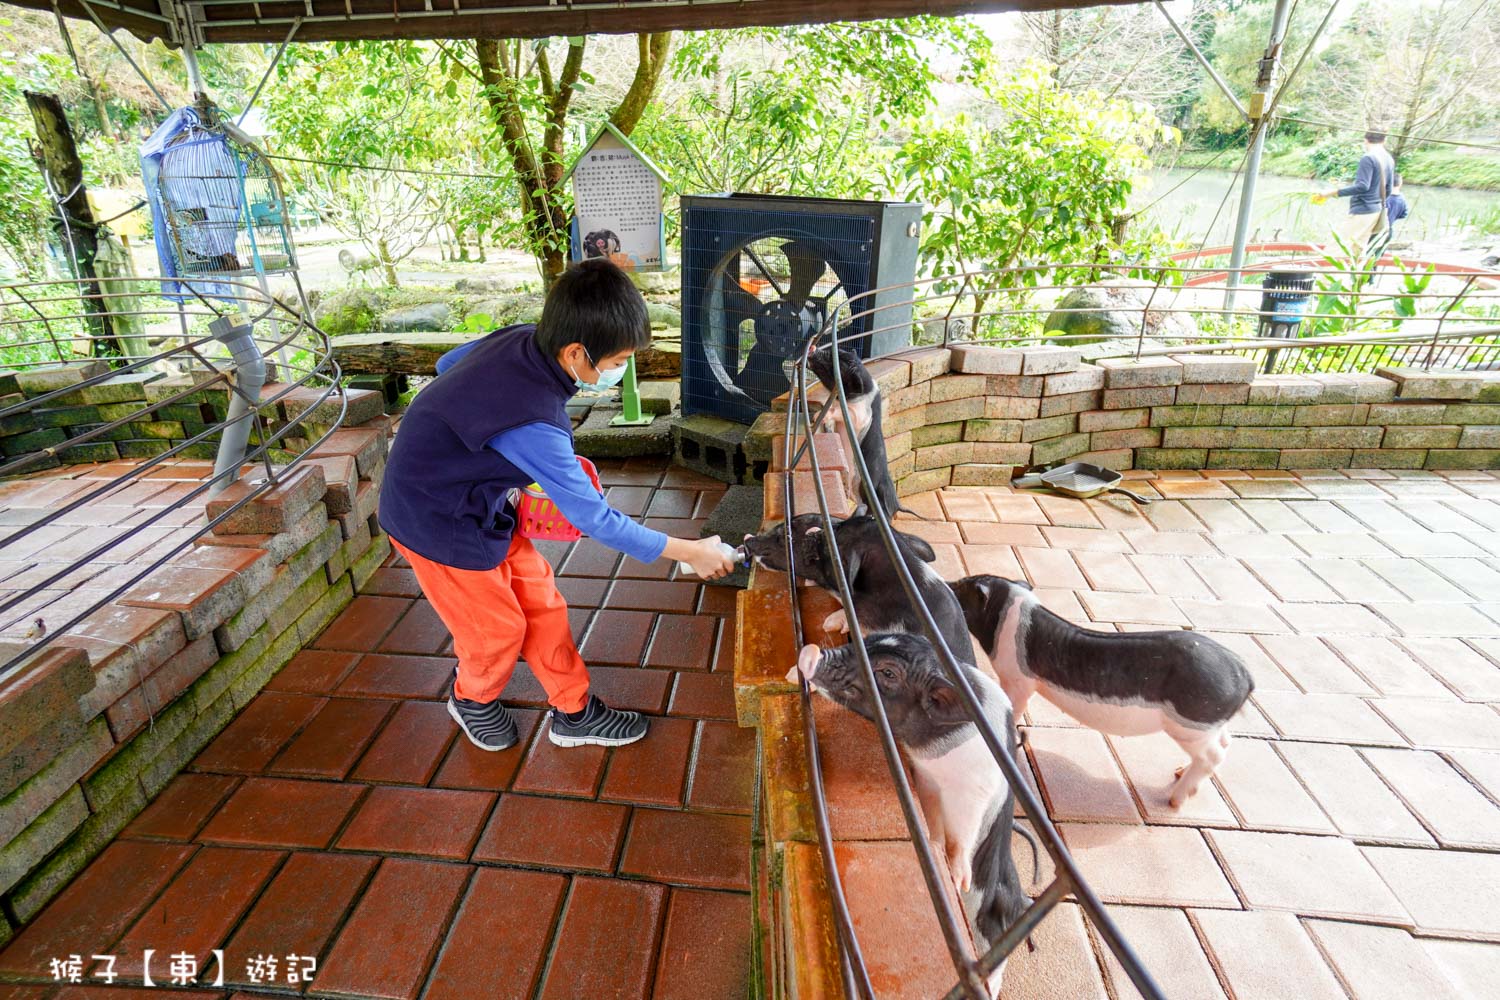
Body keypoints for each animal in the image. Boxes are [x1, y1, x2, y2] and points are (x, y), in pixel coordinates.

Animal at [792, 632, 1026, 995]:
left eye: (888, 673)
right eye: (868, 639)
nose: (810, 651)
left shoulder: (976, 790)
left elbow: (965, 832)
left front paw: (956, 878)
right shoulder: (926, 779)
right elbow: (934, 821)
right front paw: (934, 844)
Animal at [948, 575, 1254, 809]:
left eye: (964, 586)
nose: (948, 581)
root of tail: (1243, 671)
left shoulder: (1018, 680)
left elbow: (1014, 705)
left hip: (1191, 724)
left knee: (1214, 755)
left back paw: (1174, 801)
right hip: (1209, 725)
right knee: (1225, 741)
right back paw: (1178, 773)